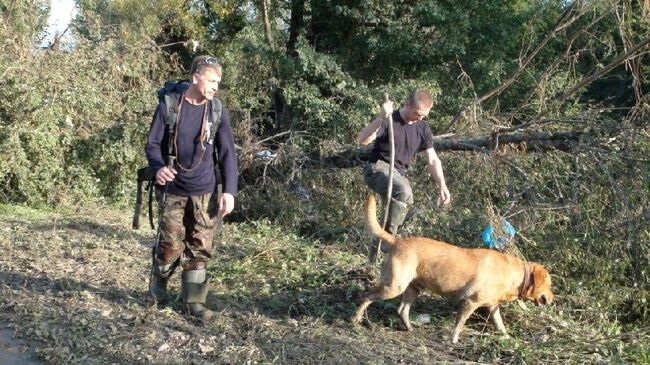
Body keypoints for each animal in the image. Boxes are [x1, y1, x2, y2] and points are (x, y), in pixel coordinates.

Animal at [350, 195, 552, 342]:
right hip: (393, 286)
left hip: (413, 288)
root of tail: (397, 240)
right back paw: (355, 319)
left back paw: (409, 328)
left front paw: (506, 337)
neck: (516, 275)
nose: (552, 299)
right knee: (366, 296)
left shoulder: (493, 306)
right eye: (549, 285)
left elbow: (500, 324)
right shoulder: (469, 303)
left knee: (402, 310)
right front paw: (453, 340)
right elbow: (459, 325)